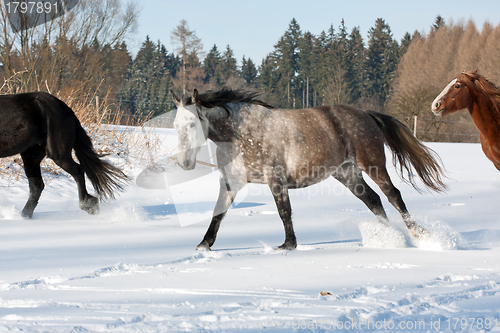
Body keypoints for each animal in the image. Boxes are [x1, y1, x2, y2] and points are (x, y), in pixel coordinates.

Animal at [0, 91, 129, 215]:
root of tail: (65, 107)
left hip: (57, 154)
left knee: (78, 171)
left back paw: (88, 205)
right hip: (31, 156)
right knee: (37, 185)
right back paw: (25, 216)